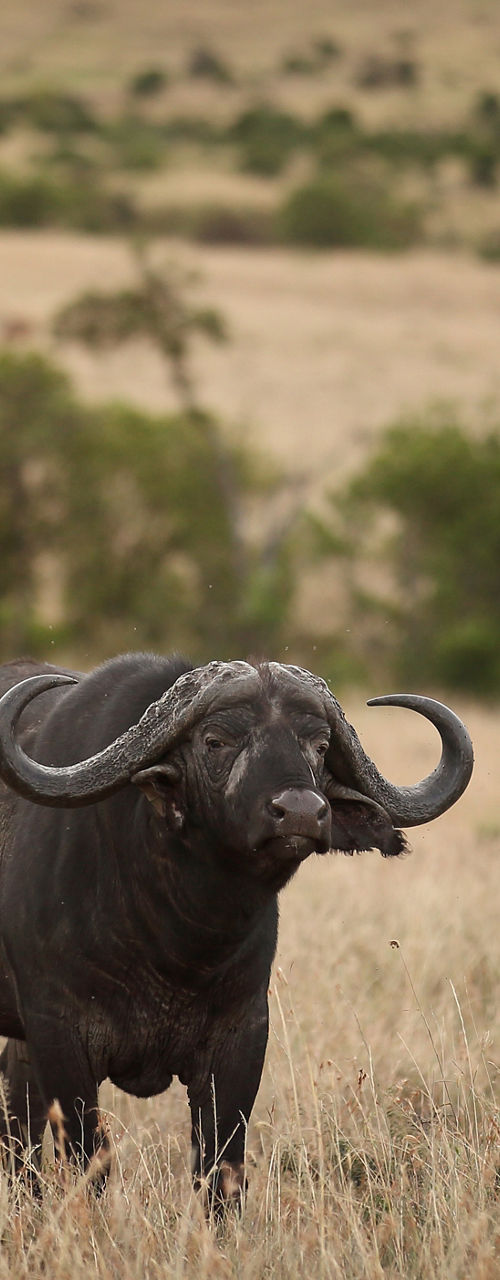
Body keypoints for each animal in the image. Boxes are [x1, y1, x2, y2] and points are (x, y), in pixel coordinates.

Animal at [0, 653, 473, 1208]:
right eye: (215, 741)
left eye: (318, 746)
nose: (301, 811)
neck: (176, 941)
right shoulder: (59, 1035)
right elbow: (88, 1161)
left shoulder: (241, 1040)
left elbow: (221, 1170)